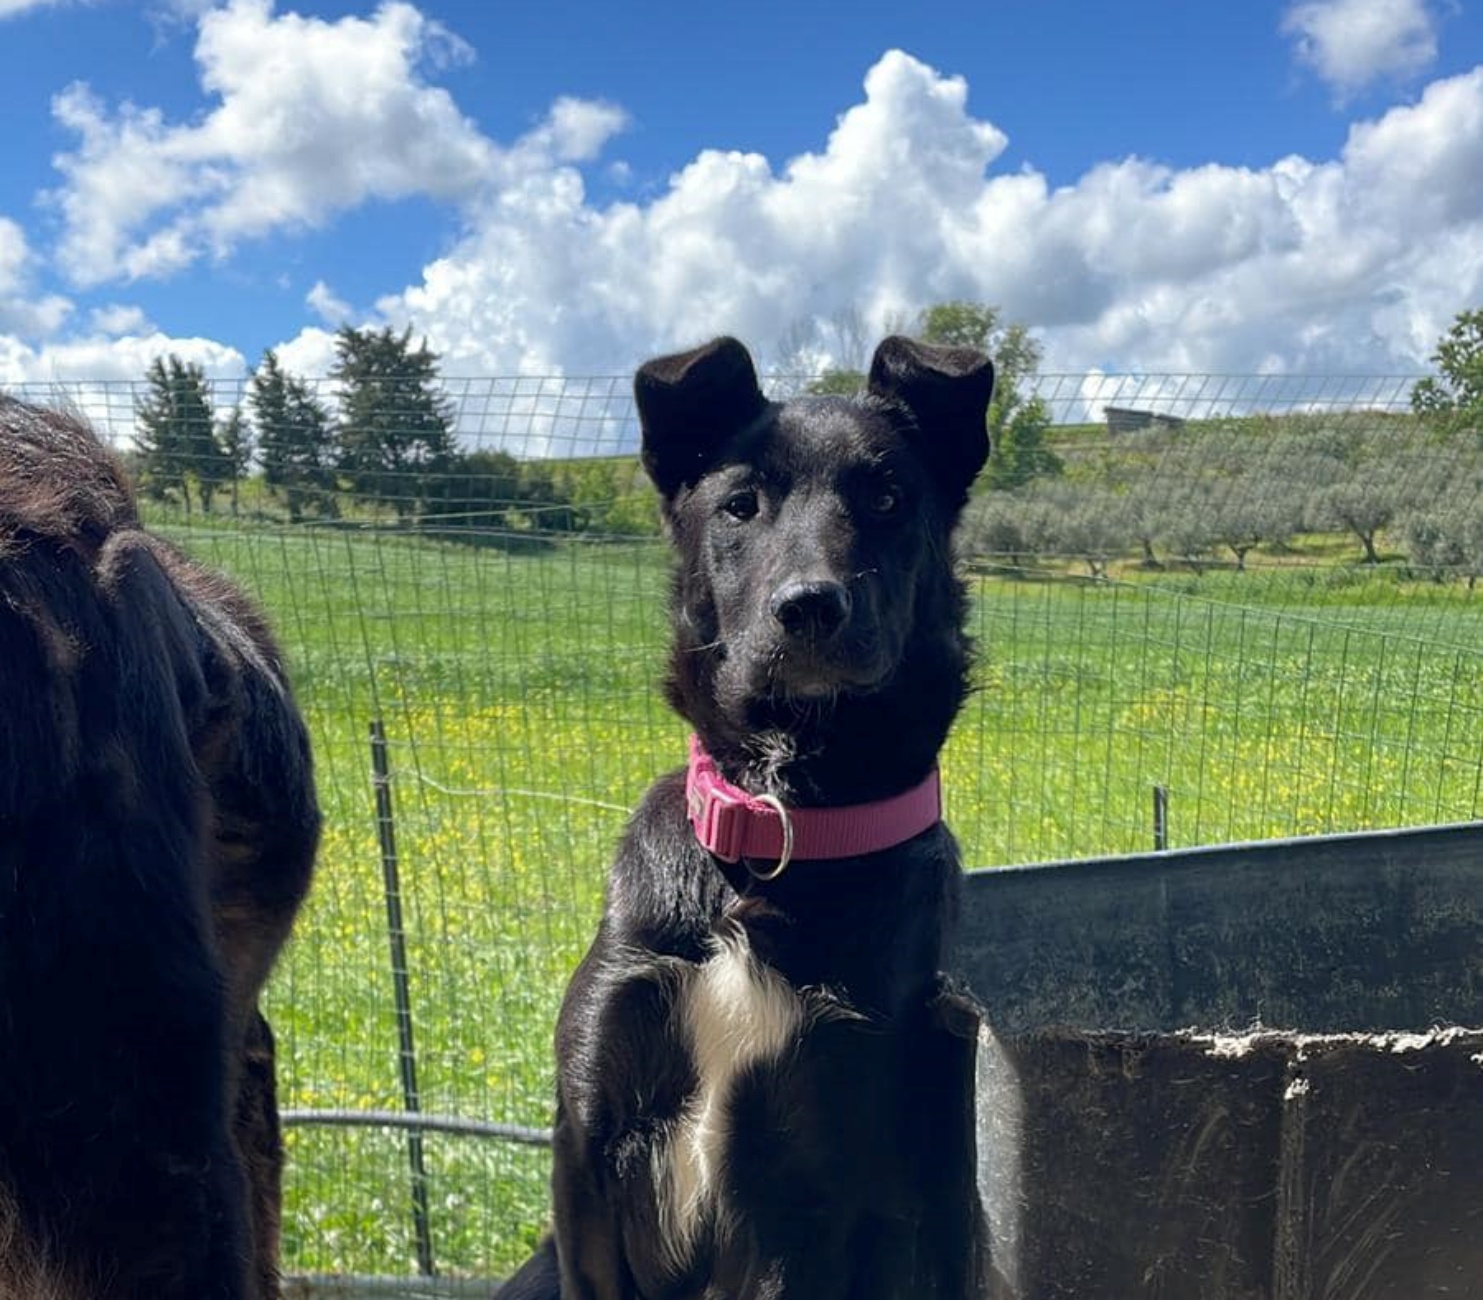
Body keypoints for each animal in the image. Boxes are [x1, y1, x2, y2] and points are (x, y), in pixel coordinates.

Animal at [498, 337, 996, 1298]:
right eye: (739, 505)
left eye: (887, 497)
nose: (808, 607)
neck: (780, 822)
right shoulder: (586, 1150)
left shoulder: (804, 1196)